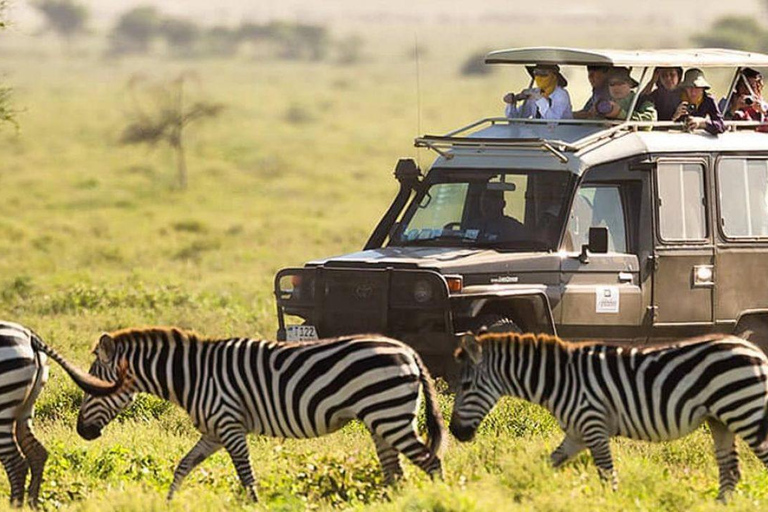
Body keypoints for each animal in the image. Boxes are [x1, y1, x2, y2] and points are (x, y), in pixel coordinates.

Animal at [0, 320, 124, 508]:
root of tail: (29, 336)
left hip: (4, 405)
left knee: (16, 463)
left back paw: (15, 507)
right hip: (25, 406)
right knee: (37, 453)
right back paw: (32, 504)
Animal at [73, 328, 444, 500]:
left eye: (91, 387)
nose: (81, 432)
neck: (193, 376)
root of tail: (408, 351)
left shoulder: (230, 424)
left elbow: (246, 476)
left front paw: (255, 504)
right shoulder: (212, 431)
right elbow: (183, 466)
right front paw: (167, 502)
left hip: (389, 414)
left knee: (431, 462)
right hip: (381, 418)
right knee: (395, 472)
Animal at [452, 330, 768, 502]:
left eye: (465, 386)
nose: (455, 432)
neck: (559, 380)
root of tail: (755, 349)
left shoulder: (594, 425)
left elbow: (607, 475)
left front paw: (609, 503)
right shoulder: (576, 434)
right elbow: (547, 463)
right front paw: (519, 490)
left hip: (746, 413)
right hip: (721, 420)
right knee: (731, 472)